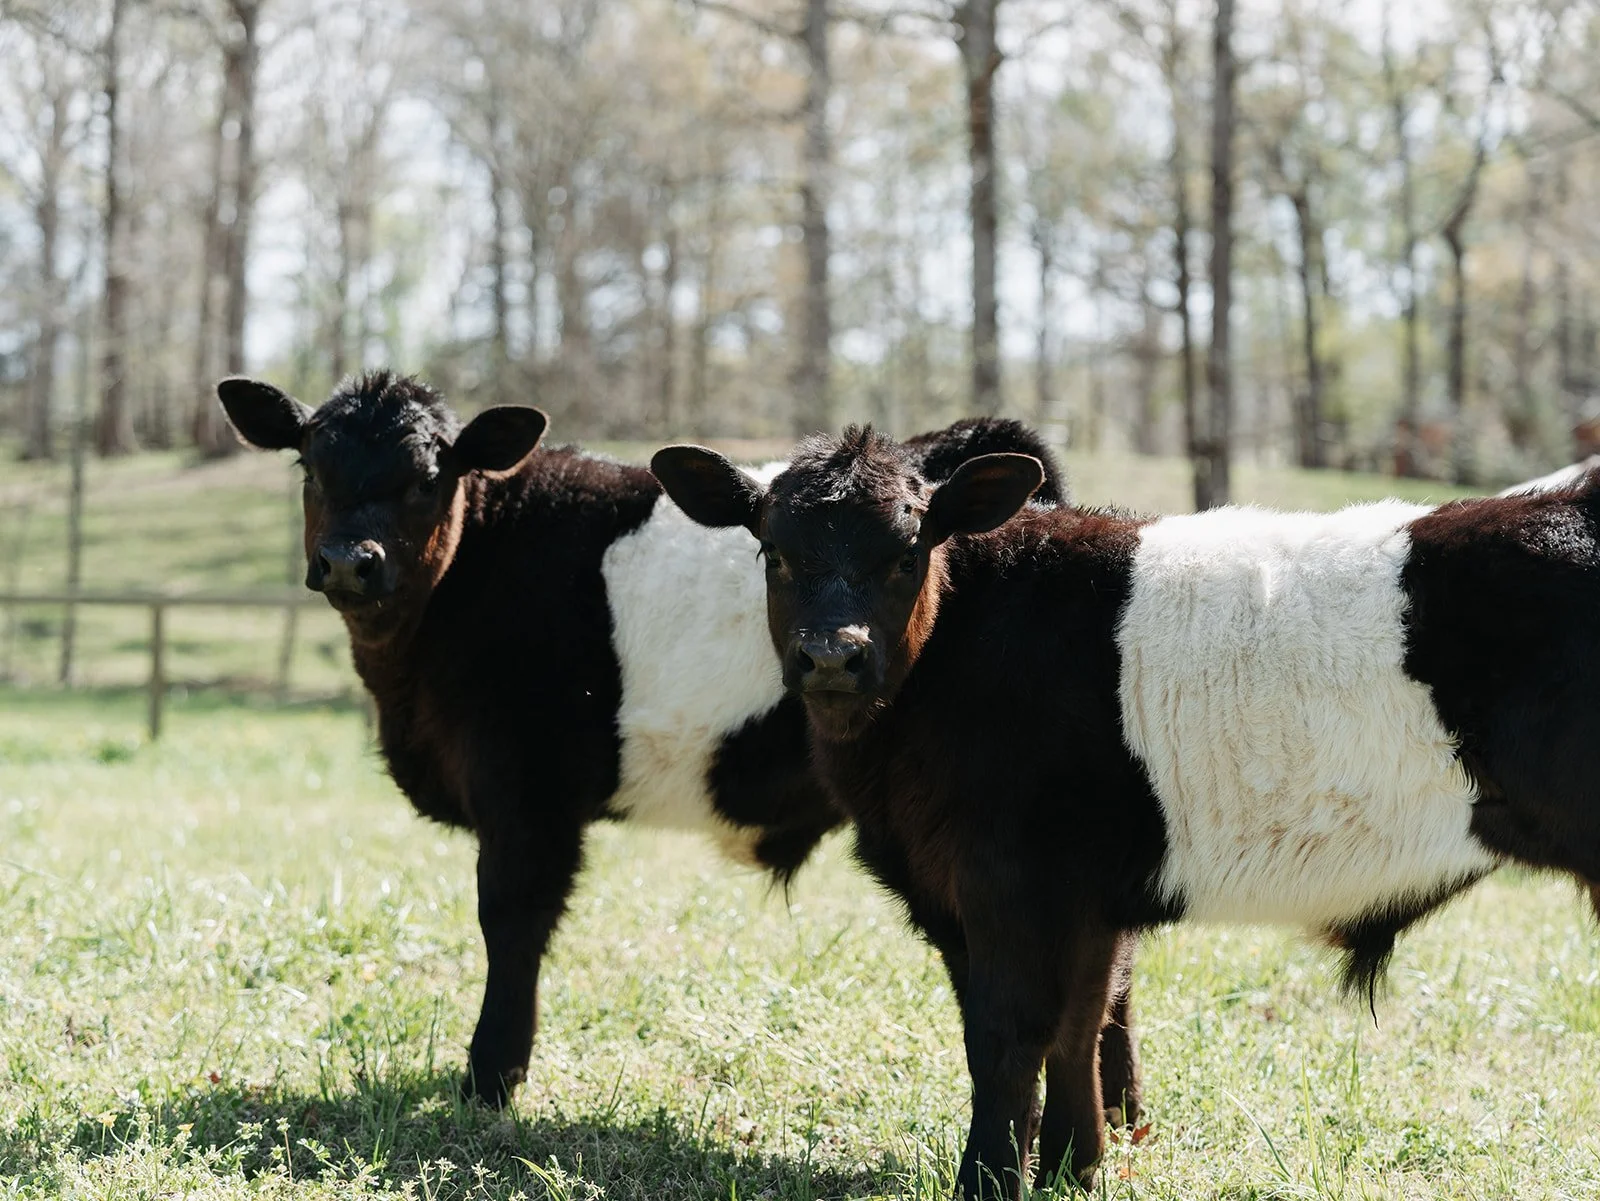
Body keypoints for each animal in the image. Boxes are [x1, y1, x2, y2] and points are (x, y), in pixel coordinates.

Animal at [214, 371, 1122, 1113]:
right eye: (311, 467)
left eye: (427, 477)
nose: (348, 561)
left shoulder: (523, 791)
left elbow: (510, 921)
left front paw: (490, 1080)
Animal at [652, 425, 1600, 1199]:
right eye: (773, 551)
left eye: (906, 549)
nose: (831, 656)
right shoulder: (1078, 896)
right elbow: (1080, 1020)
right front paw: (1076, 1168)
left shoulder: (1006, 881)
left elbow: (1008, 1034)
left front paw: (989, 1180)